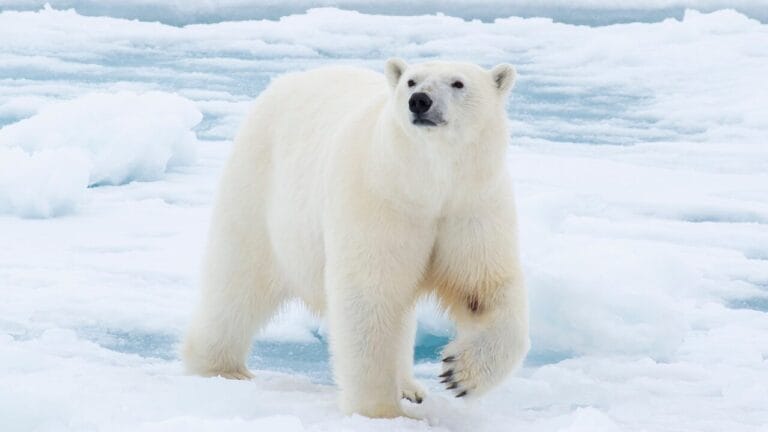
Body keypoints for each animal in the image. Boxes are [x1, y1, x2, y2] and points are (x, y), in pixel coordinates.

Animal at [182, 58, 530, 419]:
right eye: (411, 81)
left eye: (458, 83)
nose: (419, 100)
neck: (425, 186)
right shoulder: (380, 200)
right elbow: (370, 295)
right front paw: (381, 412)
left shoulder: (470, 207)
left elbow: (485, 287)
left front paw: (458, 373)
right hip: (259, 187)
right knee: (237, 281)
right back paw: (220, 367)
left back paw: (410, 387)